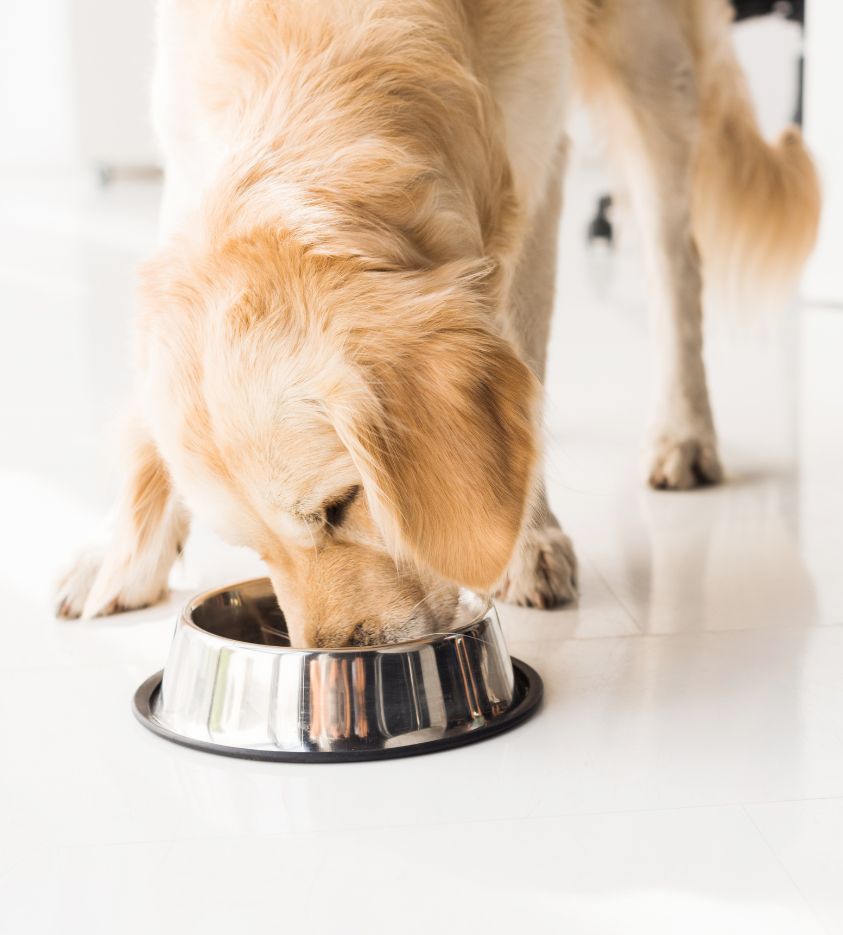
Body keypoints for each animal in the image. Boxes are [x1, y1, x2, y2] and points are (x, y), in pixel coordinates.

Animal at [52, 0, 816, 648]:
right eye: (251, 547)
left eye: (341, 505)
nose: (335, 655)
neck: (316, 42)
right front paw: (122, 552)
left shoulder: (534, 158)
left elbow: (522, 346)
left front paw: (525, 541)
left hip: (653, 64)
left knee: (675, 263)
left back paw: (682, 431)